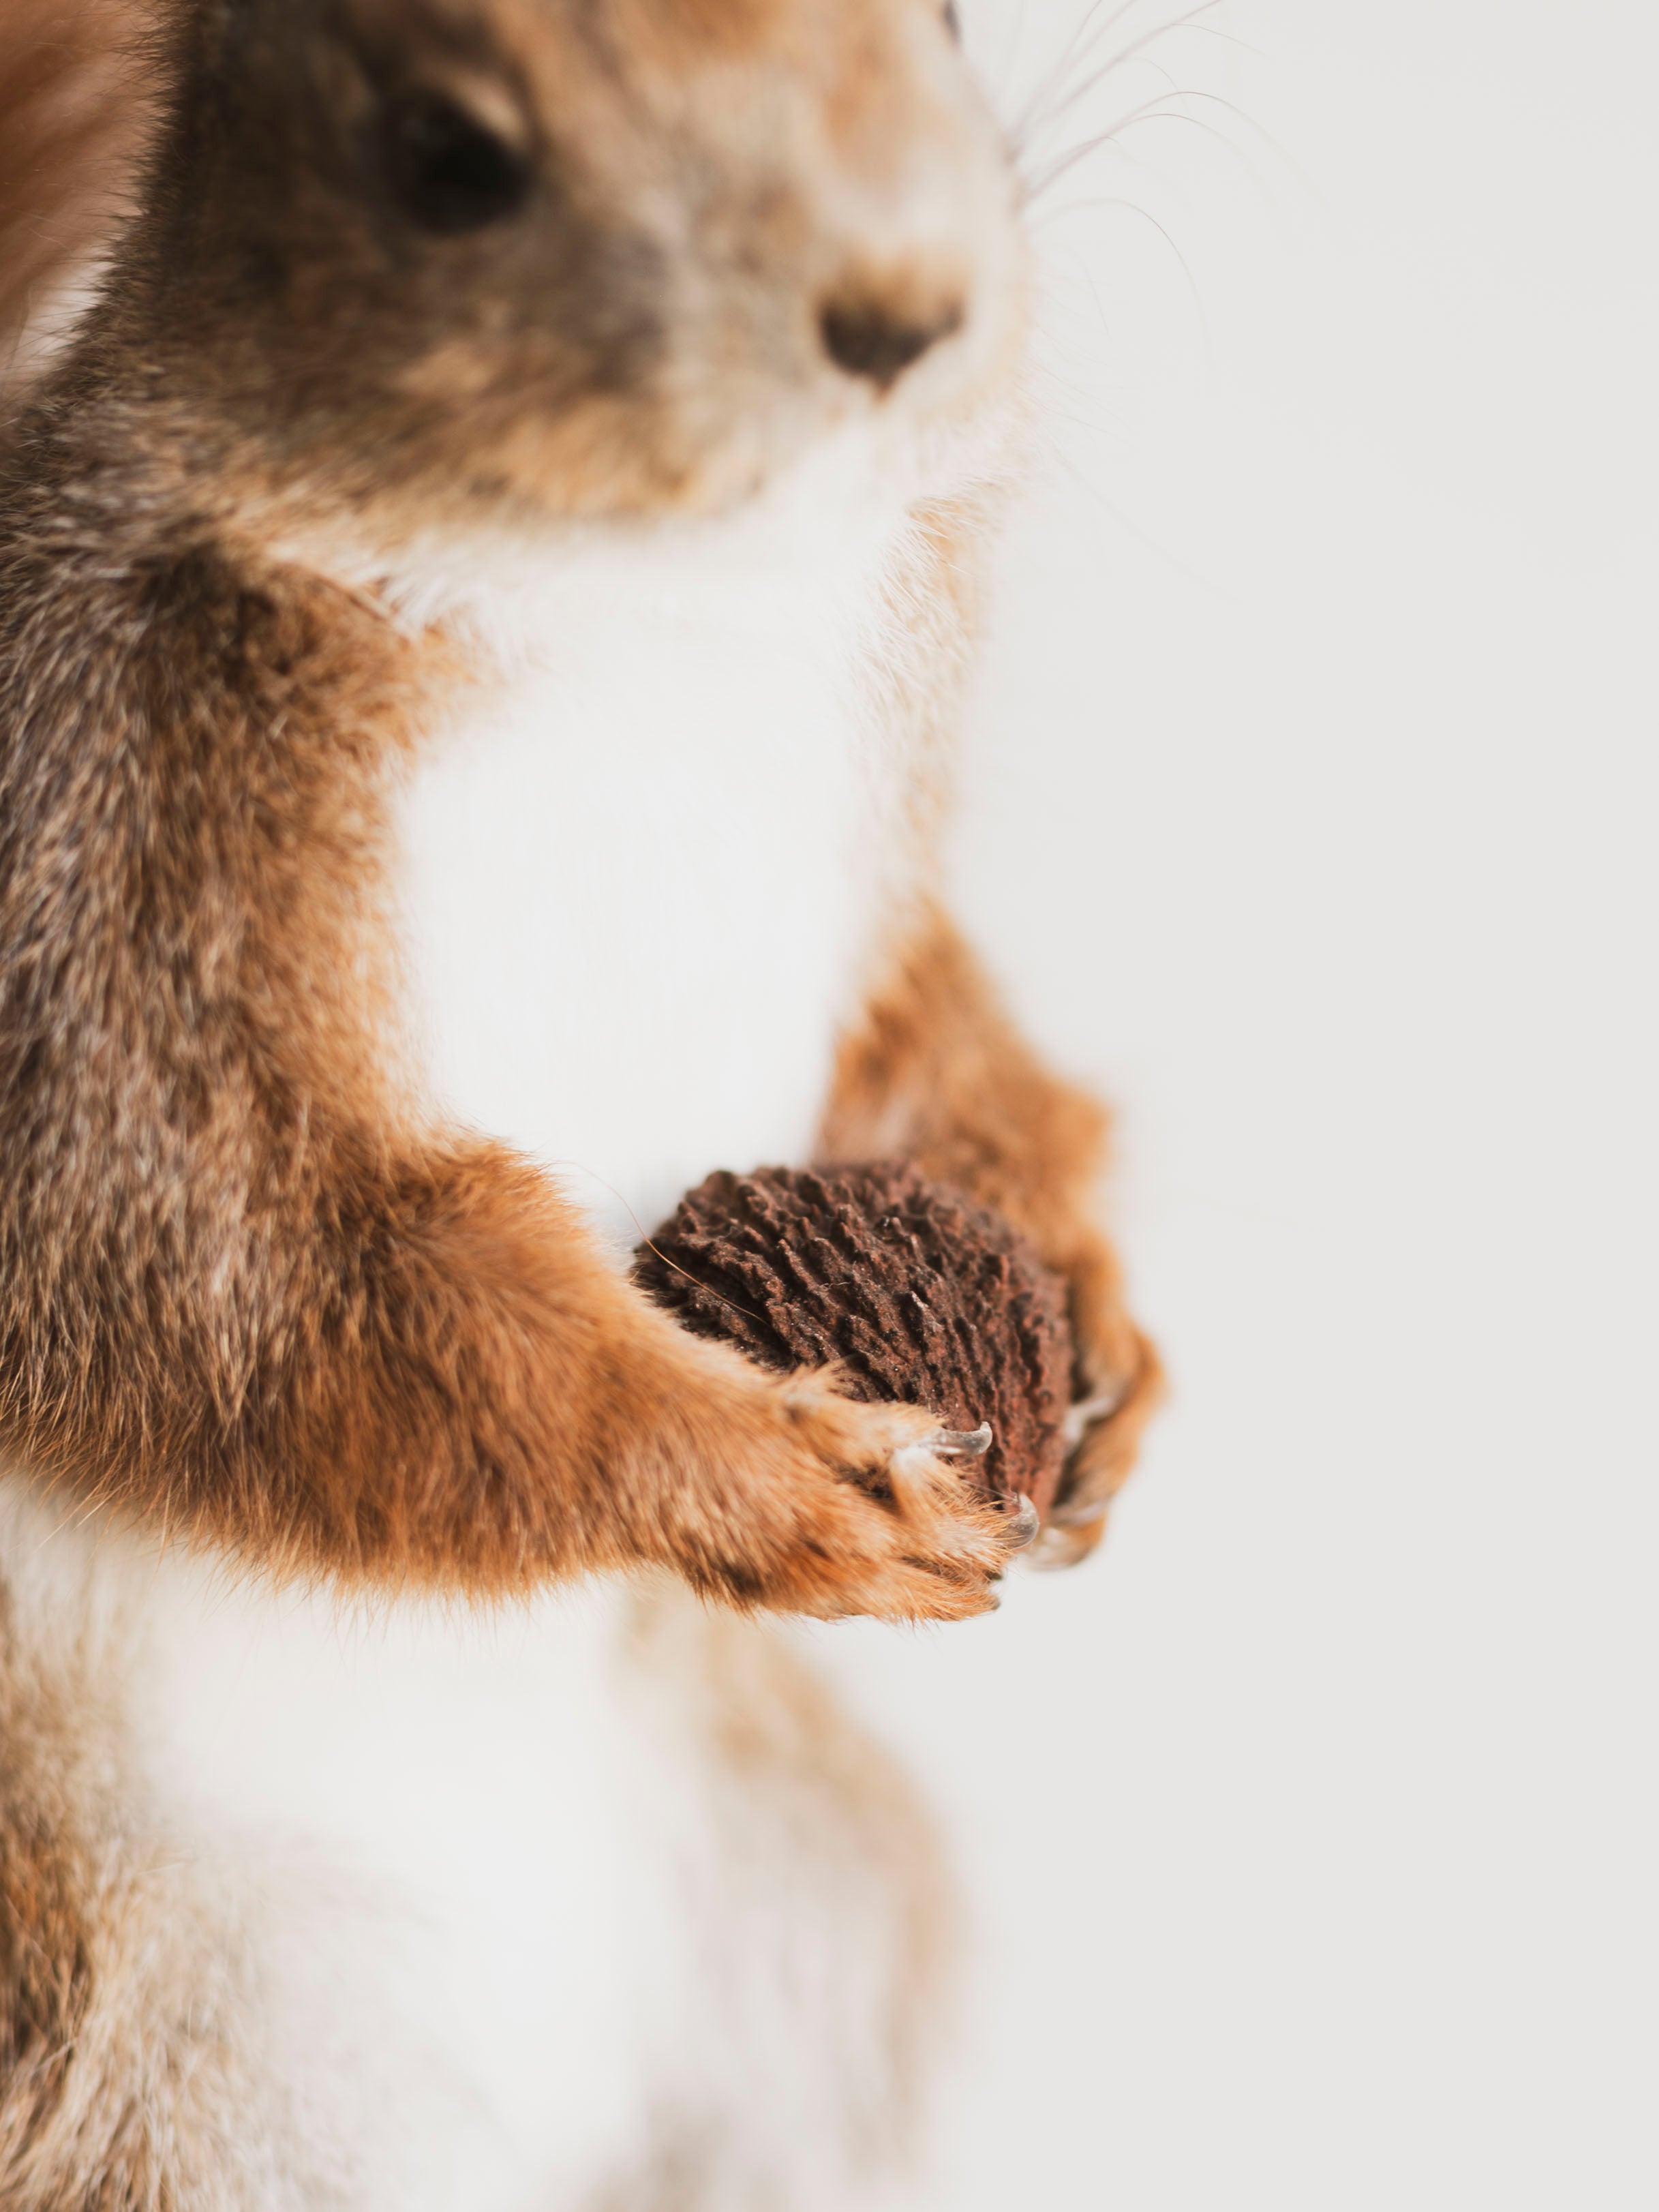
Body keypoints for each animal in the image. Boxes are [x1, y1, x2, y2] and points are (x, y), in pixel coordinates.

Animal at [0, 1, 1163, 2206]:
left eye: (950, 26)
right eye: (448, 158)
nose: (903, 311)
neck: (648, 601)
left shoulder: (866, 887)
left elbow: (931, 1040)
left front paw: (1108, 1328)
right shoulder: (89, 881)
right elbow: (251, 1284)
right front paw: (774, 1475)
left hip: (812, 1931)